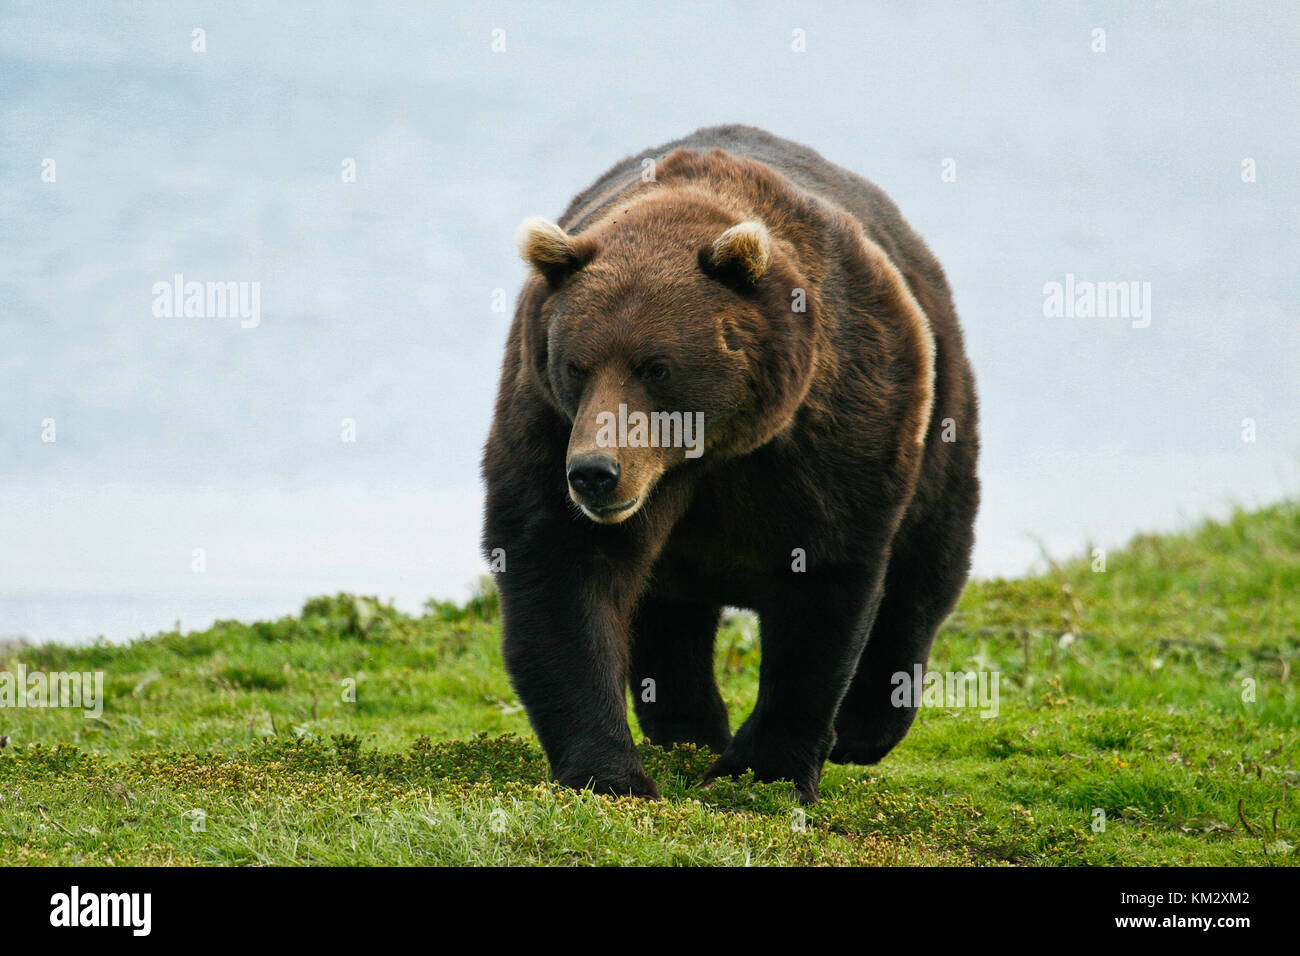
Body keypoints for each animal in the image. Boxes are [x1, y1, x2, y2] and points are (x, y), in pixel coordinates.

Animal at [482, 125, 979, 803]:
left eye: (656, 366)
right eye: (577, 365)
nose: (594, 472)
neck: (711, 450)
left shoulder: (830, 428)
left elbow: (822, 582)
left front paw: (763, 771)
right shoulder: (546, 418)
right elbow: (560, 567)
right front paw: (609, 773)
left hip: (941, 412)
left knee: (926, 563)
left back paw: (864, 728)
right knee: (671, 617)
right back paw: (689, 730)